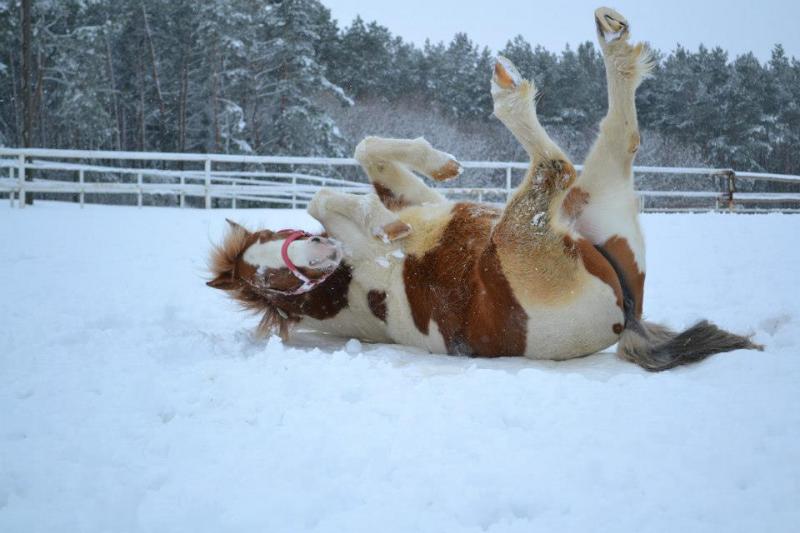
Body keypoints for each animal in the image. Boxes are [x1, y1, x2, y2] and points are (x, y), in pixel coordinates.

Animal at [208, 9, 764, 374]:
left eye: (275, 238)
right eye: (273, 281)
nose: (324, 250)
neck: (345, 282)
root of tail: (622, 319)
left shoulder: (419, 202)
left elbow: (367, 154)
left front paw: (440, 164)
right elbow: (328, 200)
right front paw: (385, 224)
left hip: (599, 210)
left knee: (620, 137)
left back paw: (612, 42)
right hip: (523, 232)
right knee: (557, 166)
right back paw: (514, 89)